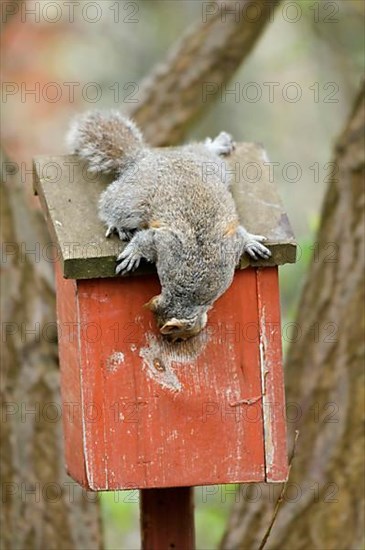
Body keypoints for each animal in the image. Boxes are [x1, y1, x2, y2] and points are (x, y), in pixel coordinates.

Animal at [66, 110, 270, 342]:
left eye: (179, 336)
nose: (175, 343)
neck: (192, 292)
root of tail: (145, 158)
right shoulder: (166, 244)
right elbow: (145, 239)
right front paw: (133, 254)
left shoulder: (224, 246)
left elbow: (239, 236)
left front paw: (252, 242)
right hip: (134, 200)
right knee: (111, 203)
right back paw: (117, 225)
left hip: (210, 169)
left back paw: (218, 144)